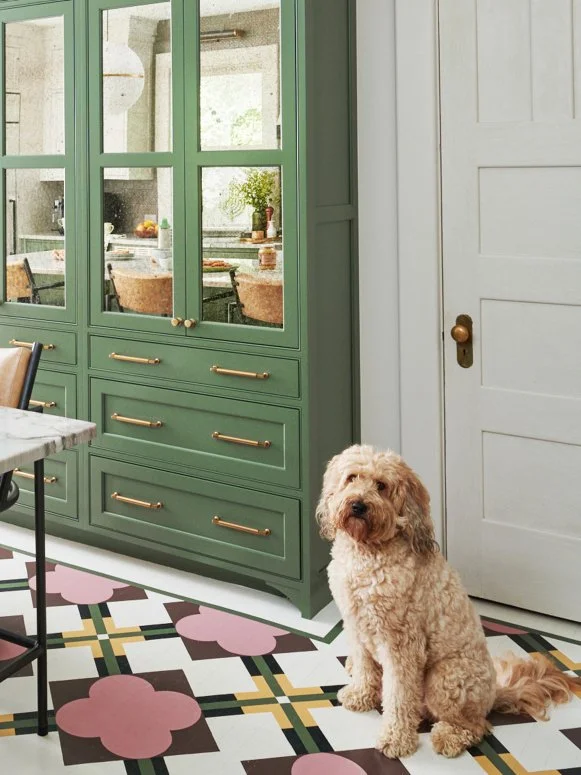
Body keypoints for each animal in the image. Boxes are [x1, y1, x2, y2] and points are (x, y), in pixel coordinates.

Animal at [318, 446, 580, 760]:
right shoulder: (356, 625)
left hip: (444, 680)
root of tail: (494, 693)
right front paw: (360, 695)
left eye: (381, 486)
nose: (358, 505)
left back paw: (449, 736)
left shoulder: (402, 646)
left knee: (475, 724)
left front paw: (396, 739)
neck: (368, 551)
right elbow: (364, 666)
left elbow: (398, 696)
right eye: (352, 477)